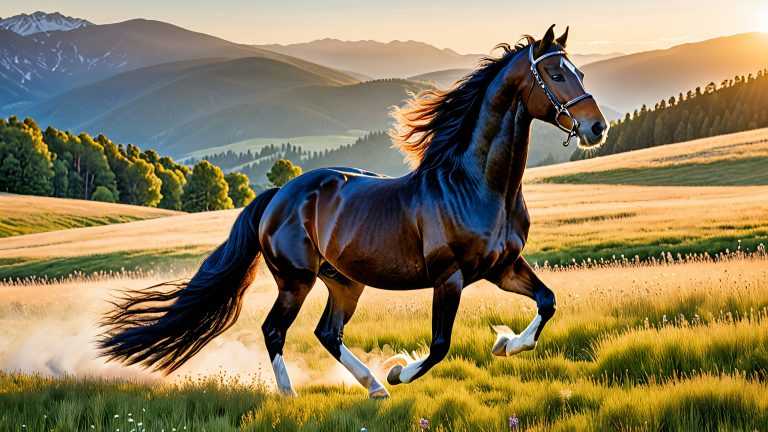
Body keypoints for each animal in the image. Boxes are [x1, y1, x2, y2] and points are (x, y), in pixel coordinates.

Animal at [98, 25, 609, 399]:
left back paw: (373, 387)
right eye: (556, 75)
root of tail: (277, 196)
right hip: (296, 280)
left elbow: (547, 302)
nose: (596, 127)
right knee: (274, 330)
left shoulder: (503, 267)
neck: (478, 187)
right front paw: (402, 371)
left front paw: (506, 343)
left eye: (581, 73)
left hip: (345, 282)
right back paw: (294, 394)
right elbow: (439, 346)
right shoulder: (450, 278)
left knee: (328, 333)